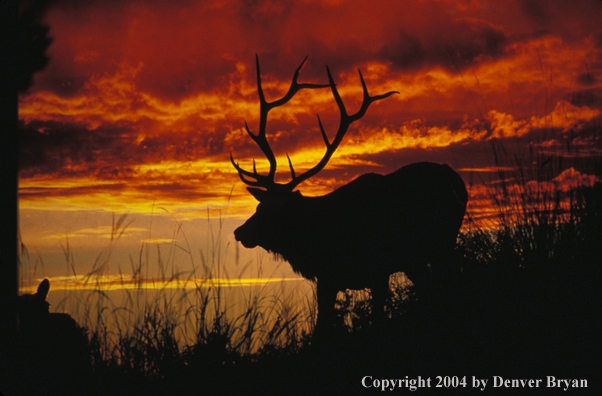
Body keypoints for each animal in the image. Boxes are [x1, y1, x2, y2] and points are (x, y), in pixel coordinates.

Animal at [227, 56, 466, 334]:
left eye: (271, 211)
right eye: (258, 206)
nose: (239, 232)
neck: (313, 237)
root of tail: (455, 181)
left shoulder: (340, 272)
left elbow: (326, 326)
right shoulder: (370, 273)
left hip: (425, 249)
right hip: (441, 245)